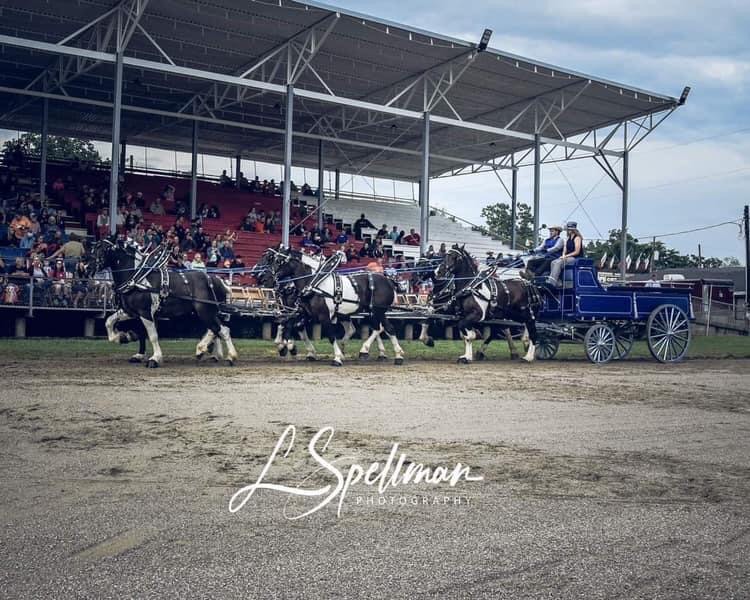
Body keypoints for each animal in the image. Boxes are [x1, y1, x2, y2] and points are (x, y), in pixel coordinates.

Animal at [90, 239, 238, 366]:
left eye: (100, 251)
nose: (87, 268)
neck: (137, 278)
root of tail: (218, 280)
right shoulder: (131, 312)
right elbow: (110, 322)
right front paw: (125, 339)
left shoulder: (145, 313)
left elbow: (153, 336)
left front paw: (154, 358)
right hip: (204, 312)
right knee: (216, 330)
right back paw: (210, 353)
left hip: (205, 311)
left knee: (220, 330)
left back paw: (226, 356)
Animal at [264, 247, 406, 366]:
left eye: (279, 261)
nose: (265, 279)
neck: (315, 283)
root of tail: (389, 281)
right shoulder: (305, 312)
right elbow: (290, 325)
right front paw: (286, 347)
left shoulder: (324, 315)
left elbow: (331, 336)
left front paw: (337, 358)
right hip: (371, 311)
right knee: (382, 328)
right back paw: (391, 355)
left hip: (377, 311)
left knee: (385, 328)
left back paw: (374, 351)